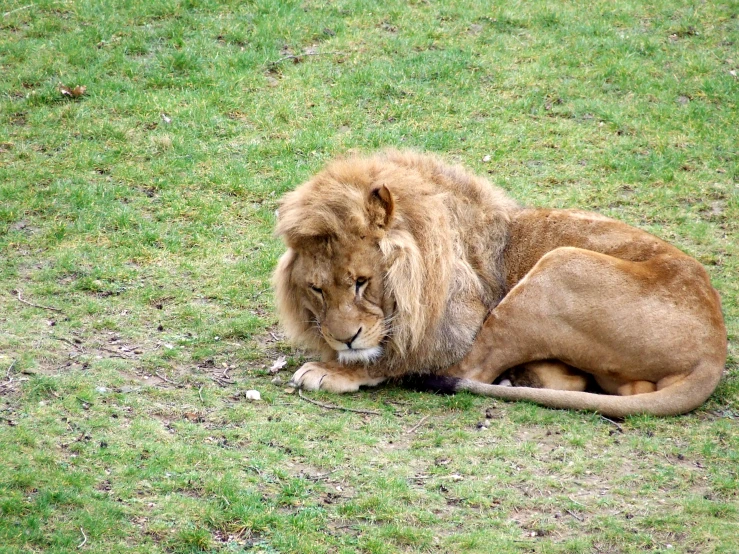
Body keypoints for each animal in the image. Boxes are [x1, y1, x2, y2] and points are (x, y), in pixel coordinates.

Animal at [274, 149, 728, 416]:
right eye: (317, 289)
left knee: (463, 370)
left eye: (361, 282)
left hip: (558, 267)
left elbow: (399, 357)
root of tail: (714, 351)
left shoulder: (453, 325)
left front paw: (333, 370)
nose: (344, 339)